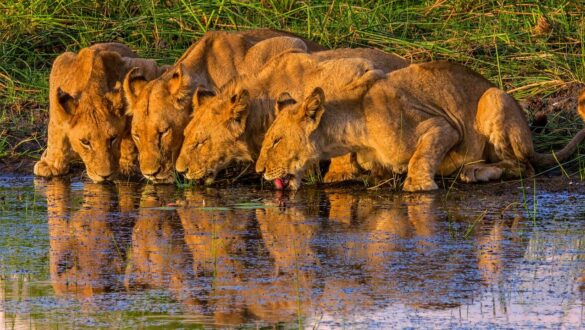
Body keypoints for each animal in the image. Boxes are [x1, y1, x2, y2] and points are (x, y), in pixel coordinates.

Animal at [33, 42, 167, 183]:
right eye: (85, 142)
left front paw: (125, 167)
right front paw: (50, 165)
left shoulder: (145, 66)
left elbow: (129, 137)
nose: (105, 176)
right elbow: (55, 133)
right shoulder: (60, 66)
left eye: (113, 138)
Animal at [256, 60, 584, 192]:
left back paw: (475, 172)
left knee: (523, 166)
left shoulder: (443, 126)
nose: (259, 171)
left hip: (494, 97)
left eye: (276, 141)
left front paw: (418, 185)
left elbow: (422, 156)